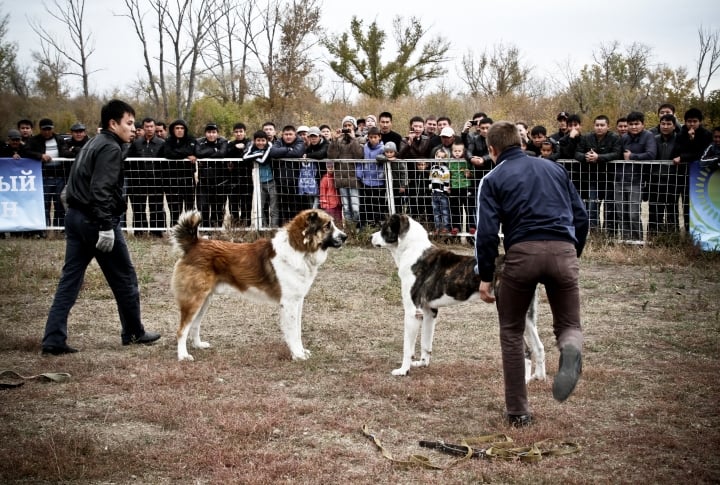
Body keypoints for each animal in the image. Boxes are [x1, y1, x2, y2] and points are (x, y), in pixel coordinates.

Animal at [170, 208, 348, 360]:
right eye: (327, 226)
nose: (345, 236)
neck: (298, 249)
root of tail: (194, 244)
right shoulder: (289, 303)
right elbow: (292, 331)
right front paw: (298, 355)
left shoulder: (298, 302)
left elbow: (297, 330)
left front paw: (300, 351)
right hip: (194, 300)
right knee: (182, 330)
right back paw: (183, 356)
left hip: (205, 300)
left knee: (194, 325)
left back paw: (198, 345)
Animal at [372, 214, 544, 380]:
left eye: (384, 227)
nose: (371, 237)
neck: (412, 250)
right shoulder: (430, 312)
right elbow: (426, 343)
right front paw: (422, 364)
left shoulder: (412, 313)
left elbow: (407, 348)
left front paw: (403, 371)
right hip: (528, 318)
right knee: (539, 347)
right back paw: (538, 377)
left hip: (507, 313)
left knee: (527, 351)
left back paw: (525, 380)